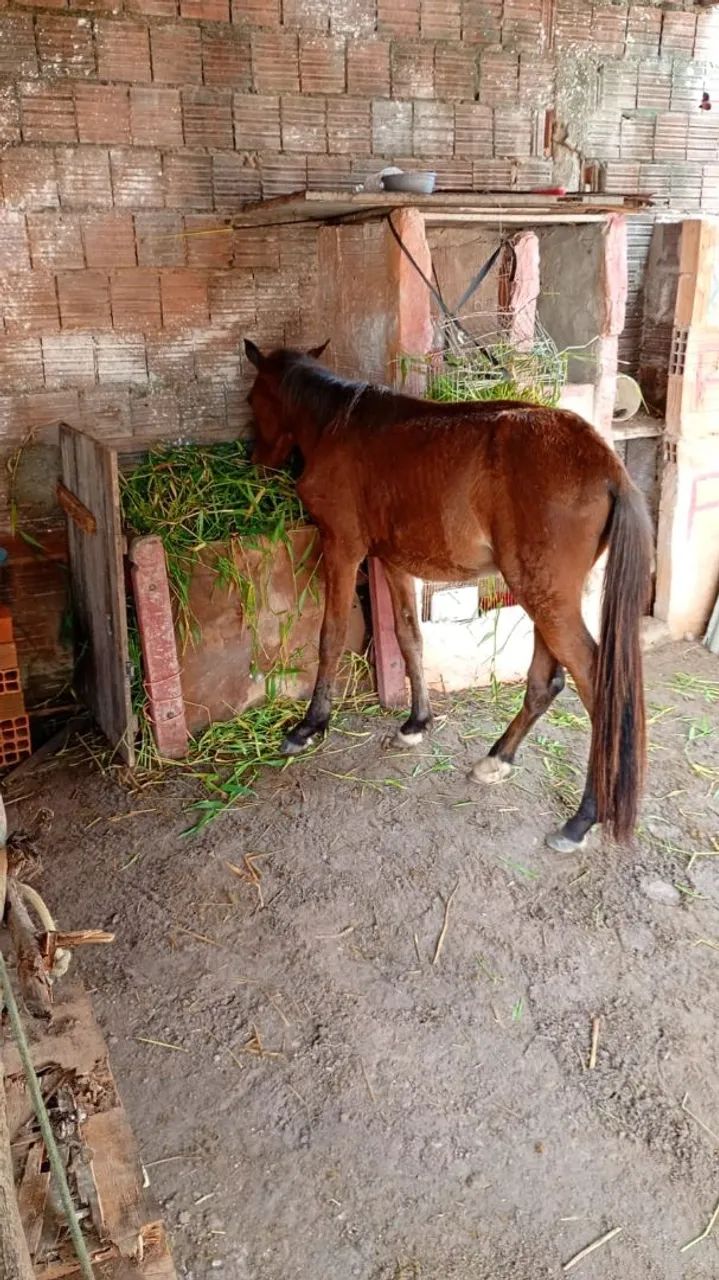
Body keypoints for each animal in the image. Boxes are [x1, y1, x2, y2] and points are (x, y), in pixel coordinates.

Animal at [244, 340, 653, 854]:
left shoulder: (342, 549)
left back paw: (582, 818)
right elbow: (408, 637)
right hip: (547, 596)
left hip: (545, 596)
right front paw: (415, 723)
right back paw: (497, 760)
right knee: (546, 683)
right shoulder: (393, 562)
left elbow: (330, 635)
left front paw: (309, 725)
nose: (255, 460)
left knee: (596, 687)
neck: (338, 424)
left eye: (251, 399)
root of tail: (606, 465)